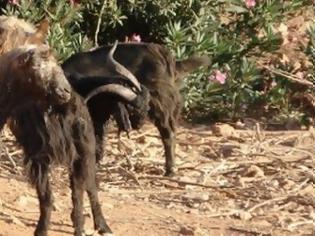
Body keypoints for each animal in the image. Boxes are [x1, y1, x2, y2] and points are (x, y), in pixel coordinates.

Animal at [0, 43, 141, 235]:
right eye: (36, 67)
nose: (65, 91)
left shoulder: (82, 150)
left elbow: (80, 190)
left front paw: (84, 227)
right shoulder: (39, 156)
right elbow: (48, 195)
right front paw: (42, 230)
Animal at [62, 42, 211, 175]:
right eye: (131, 107)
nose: (138, 124)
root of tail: (165, 55)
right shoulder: (98, 115)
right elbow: (97, 139)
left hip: (162, 102)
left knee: (168, 132)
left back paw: (170, 170)